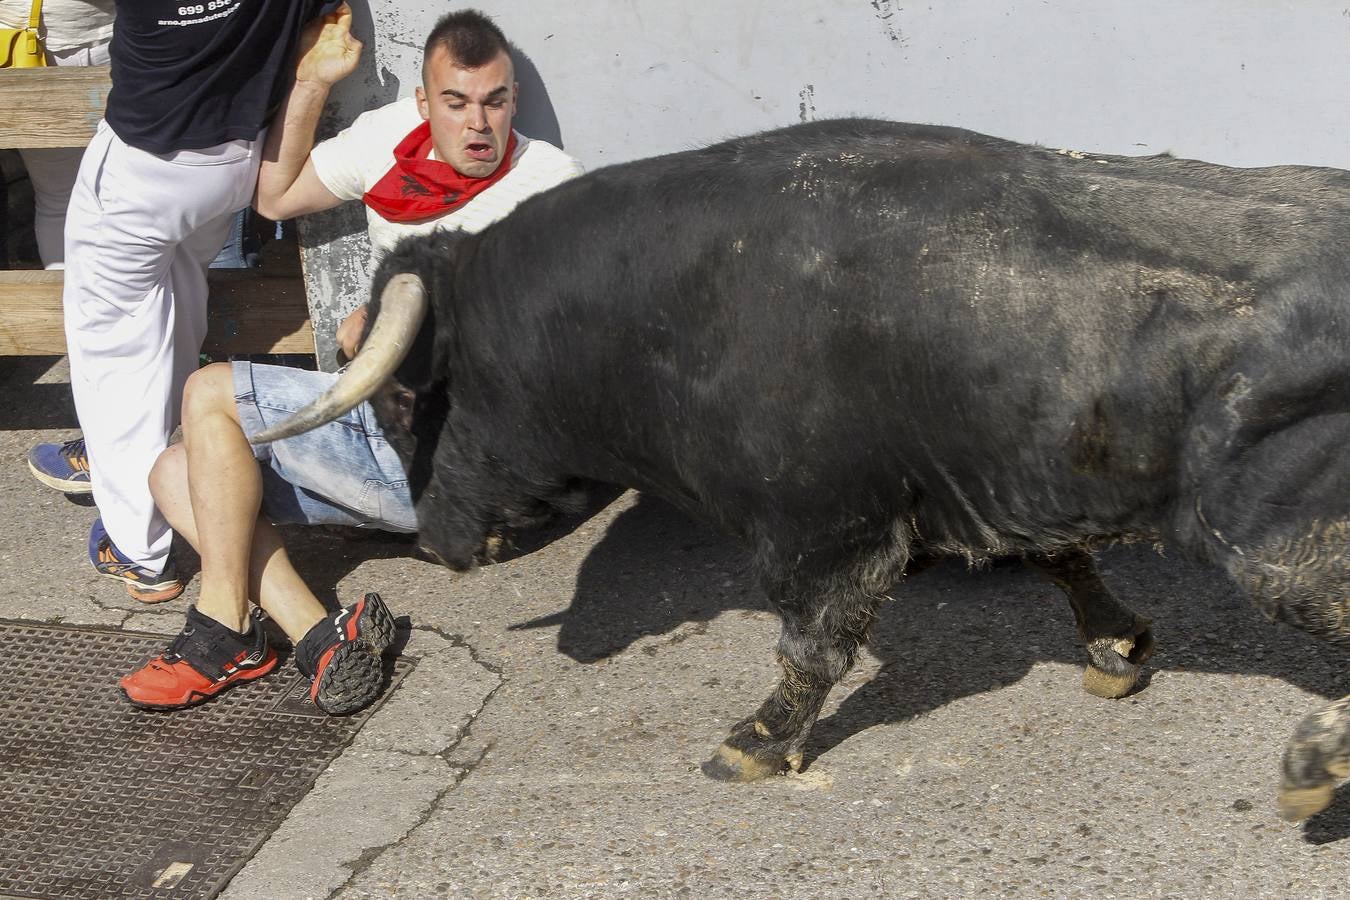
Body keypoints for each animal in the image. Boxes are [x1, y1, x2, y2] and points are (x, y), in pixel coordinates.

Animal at [257, 121, 1344, 825]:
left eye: (406, 400)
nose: (436, 547)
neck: (664, 308)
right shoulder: (998, 480)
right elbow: (1061, 560)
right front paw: (1117, 647)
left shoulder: (821, 532)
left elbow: (811, 646)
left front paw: (755, 741)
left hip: (1282, 549)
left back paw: (1314, 758)